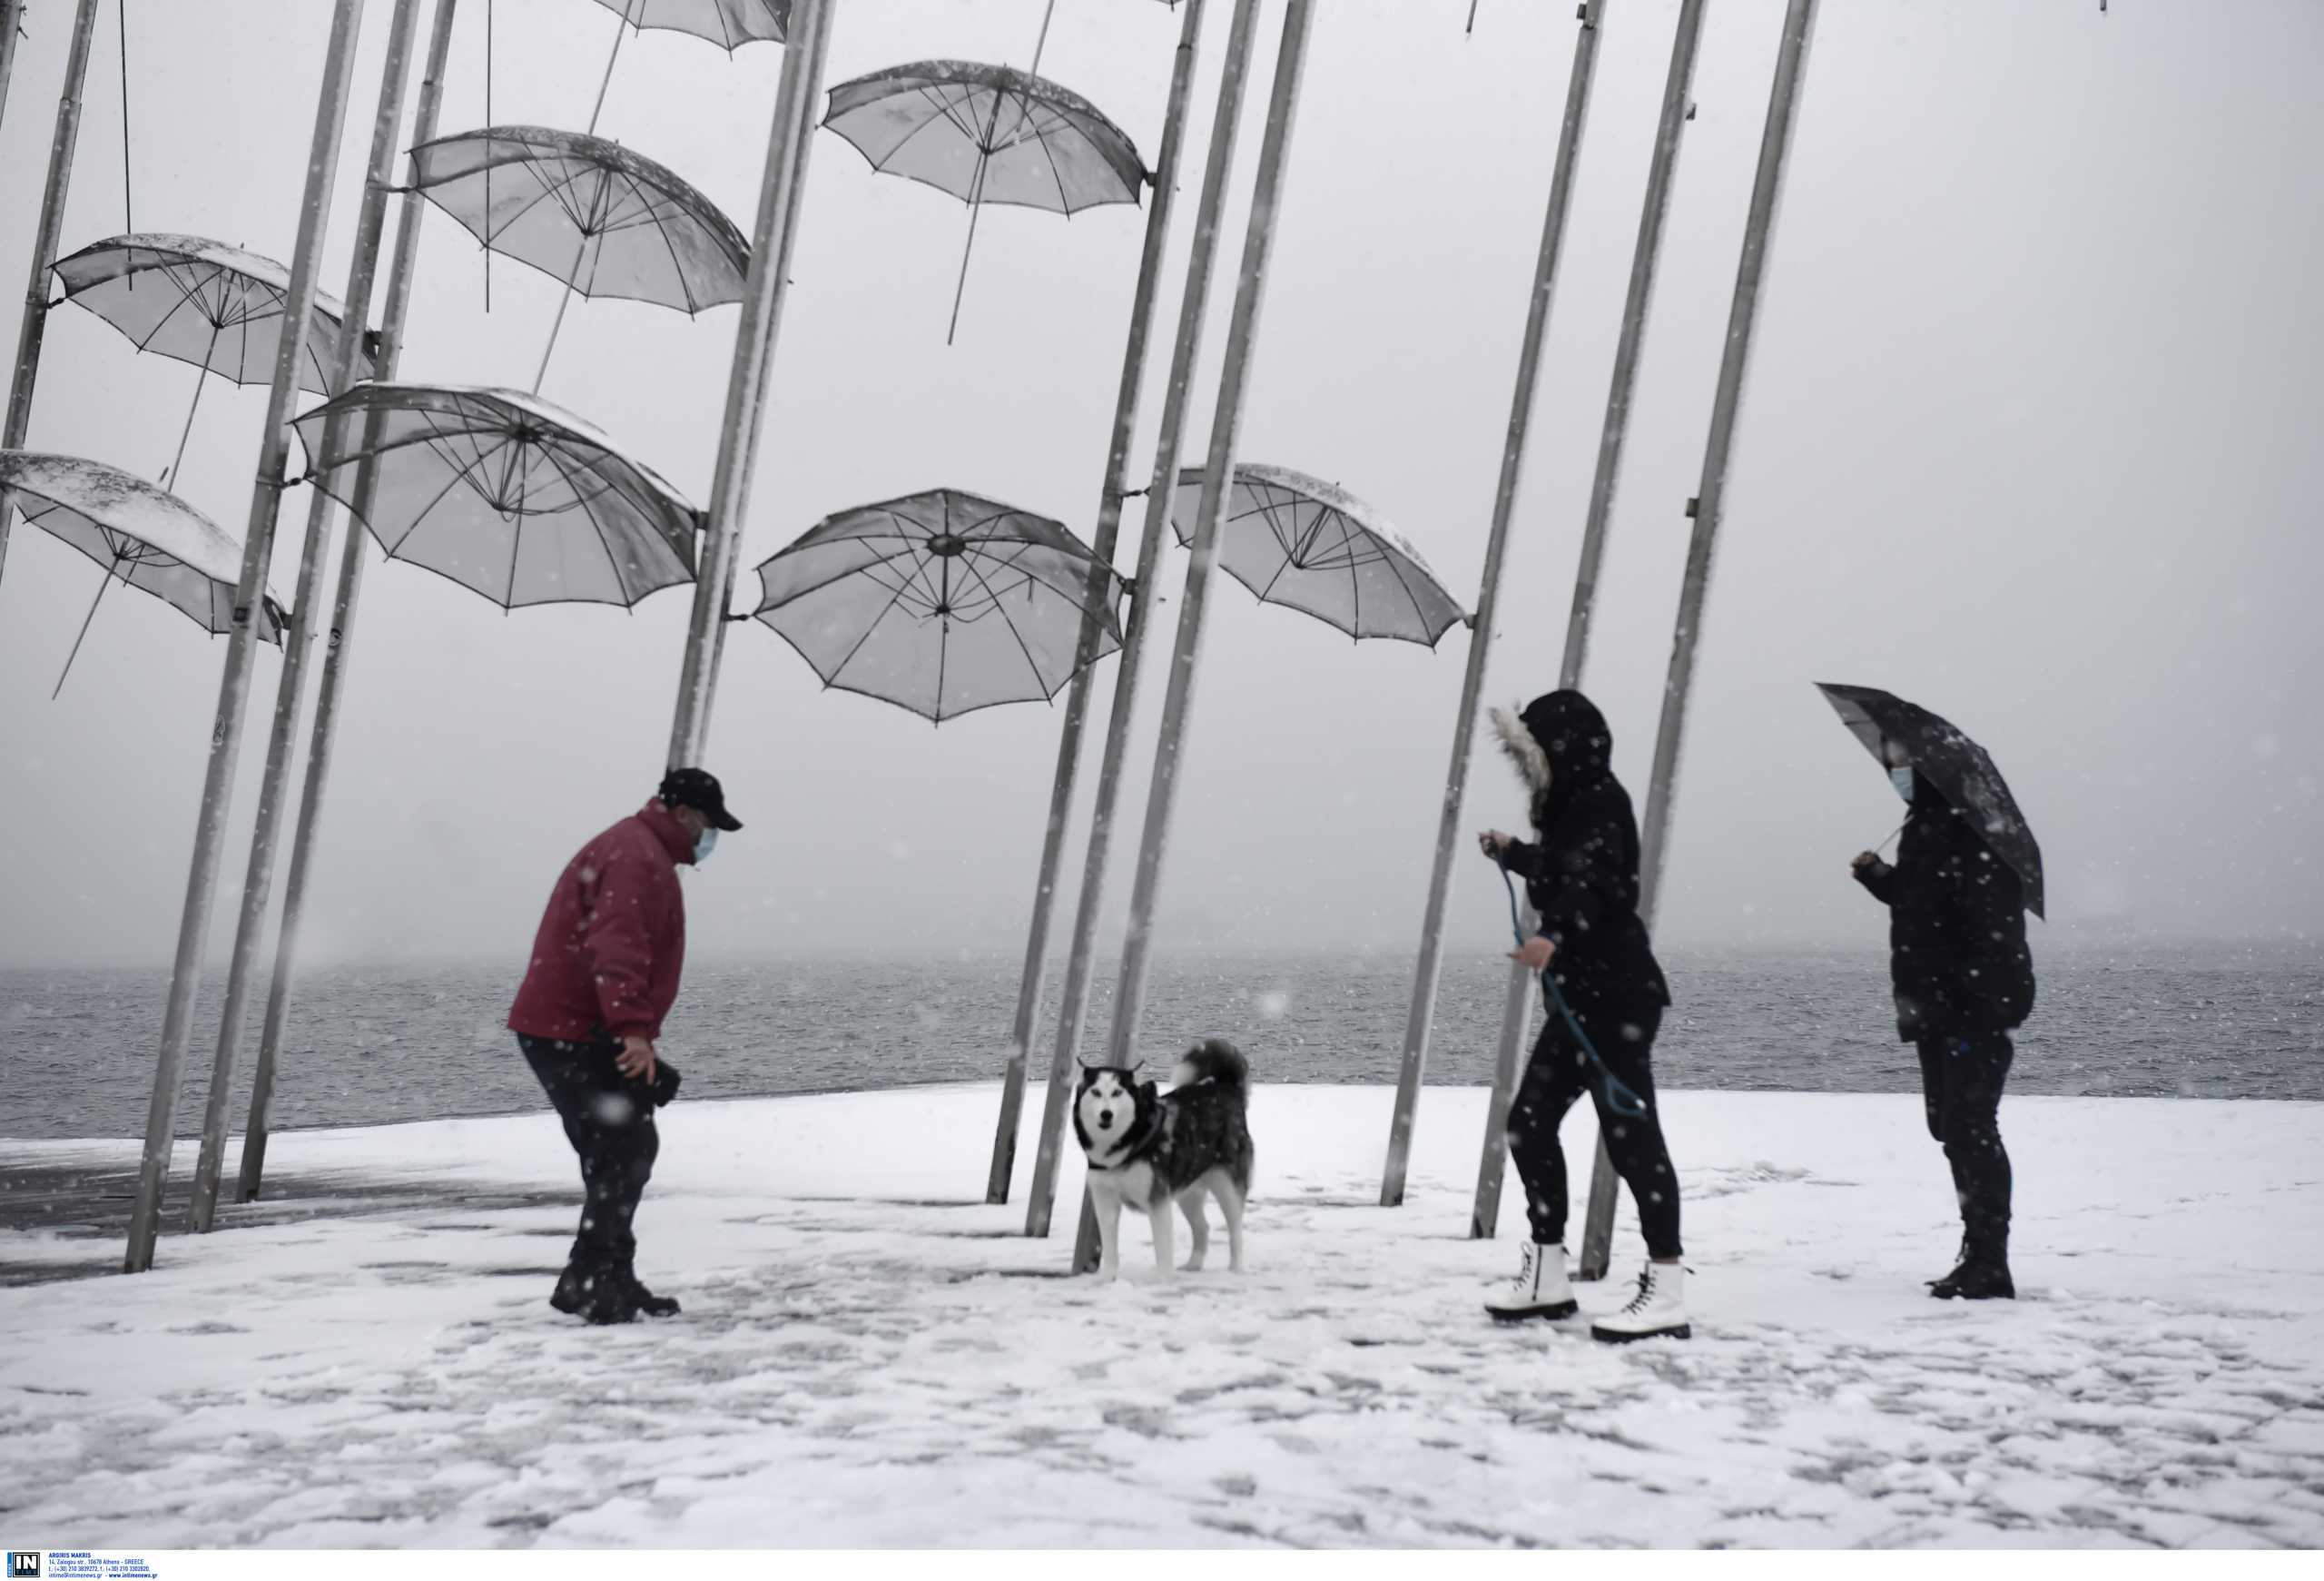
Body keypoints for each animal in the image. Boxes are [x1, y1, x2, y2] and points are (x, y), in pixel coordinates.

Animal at [1073, 1036, 1255, 1283]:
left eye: (1118, 1092)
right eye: (1096, 1092)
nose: (1106, 1114)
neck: (1121, 1146)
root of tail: (1224, 1088)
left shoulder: (1157, 1199)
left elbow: (1162, 1245)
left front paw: (1162, 1279)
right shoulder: (1104, 1199)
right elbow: (1109, 1247)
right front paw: (1107, 1278)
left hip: (1228, 1186)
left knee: (1235, 1230)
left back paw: (1236, 1269)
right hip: (1188, 1190)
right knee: (1202, 1227)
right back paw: (1193, 1265)